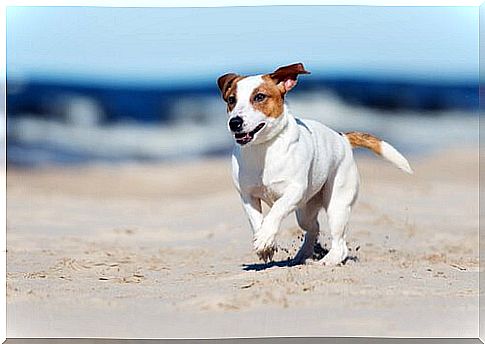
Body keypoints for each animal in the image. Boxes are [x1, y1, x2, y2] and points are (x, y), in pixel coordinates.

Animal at [217, 62, 410, 266]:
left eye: (259, 97)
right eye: (231, 100)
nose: (234, 122)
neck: (263, 149)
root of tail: (342, 138)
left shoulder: (295, 190)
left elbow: (276, 210)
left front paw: (264, 237)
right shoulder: (247, 196)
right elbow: (256, 220)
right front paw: (265, 244)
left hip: (337, 204)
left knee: (340, 243)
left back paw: (328, 260)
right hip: (305, 211)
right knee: (314, 228)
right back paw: (302, 255)